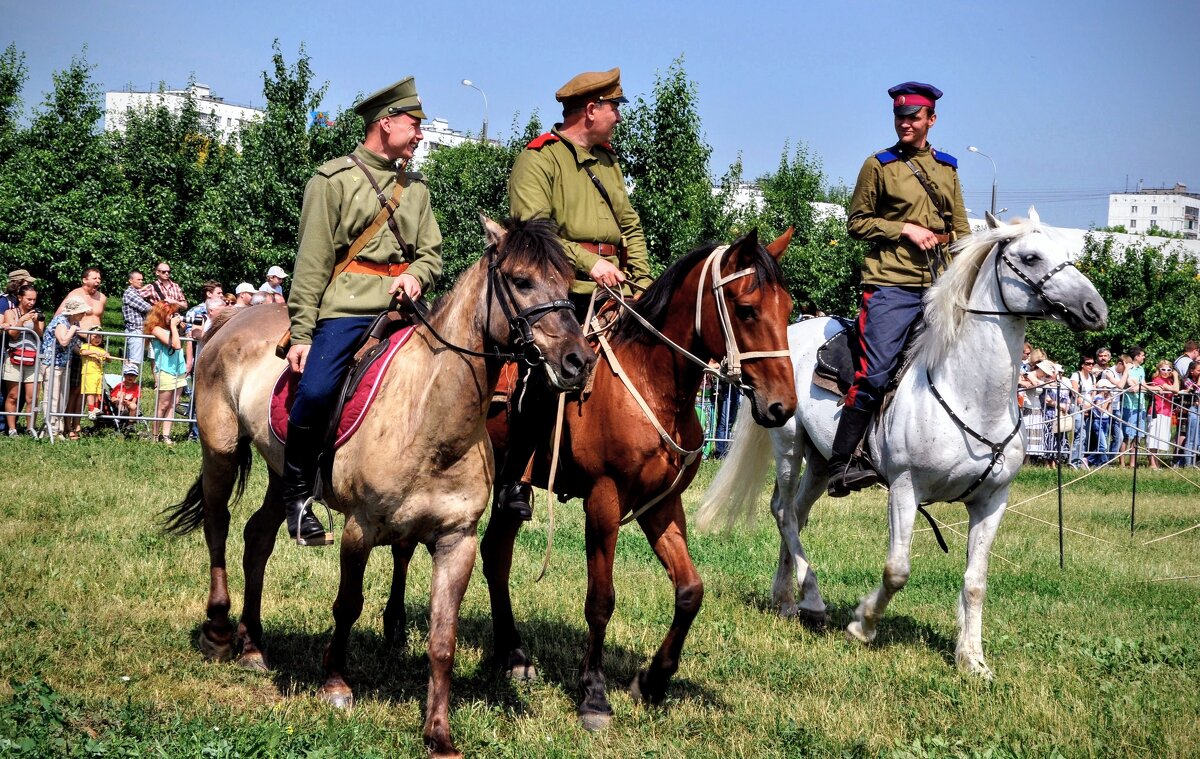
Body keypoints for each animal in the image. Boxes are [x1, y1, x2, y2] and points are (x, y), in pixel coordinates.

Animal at [164, 216, 595, 754]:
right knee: (219, 526)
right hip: (220, 451)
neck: (429, 413)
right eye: (521, 280)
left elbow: (443, 640)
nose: (579, 361)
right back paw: (220, 631)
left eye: (568, 284)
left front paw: (439, 734)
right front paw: (335, 683)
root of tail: (230, 321)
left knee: (256, 537)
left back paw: (252, 645)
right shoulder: (360, 528)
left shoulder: (456, 541)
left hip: (284, 474)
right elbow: (348, 605)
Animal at [472, 229, 801, 730]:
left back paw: (513, 654)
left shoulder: (661, 506)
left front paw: (653, 680)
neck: (652, 383)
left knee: (496, 555)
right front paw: (593, 694)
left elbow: (690, 591)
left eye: (787, 309)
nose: (782, 406)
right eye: (746, 309)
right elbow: (600, 600)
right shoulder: (603, 502)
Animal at [700, 210, 1108, 677]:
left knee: (796, 515)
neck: (969, 394)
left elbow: (975, 583)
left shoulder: (992, 500)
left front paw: (972, 659)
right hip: (789, 445)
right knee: (784, 513)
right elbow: (897, 570)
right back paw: (812, 599)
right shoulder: (904, 489)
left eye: (1066, 251)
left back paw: (789, 598)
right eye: (1030, 257)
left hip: (822, 462)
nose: (1095, 309)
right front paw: (863, 624)